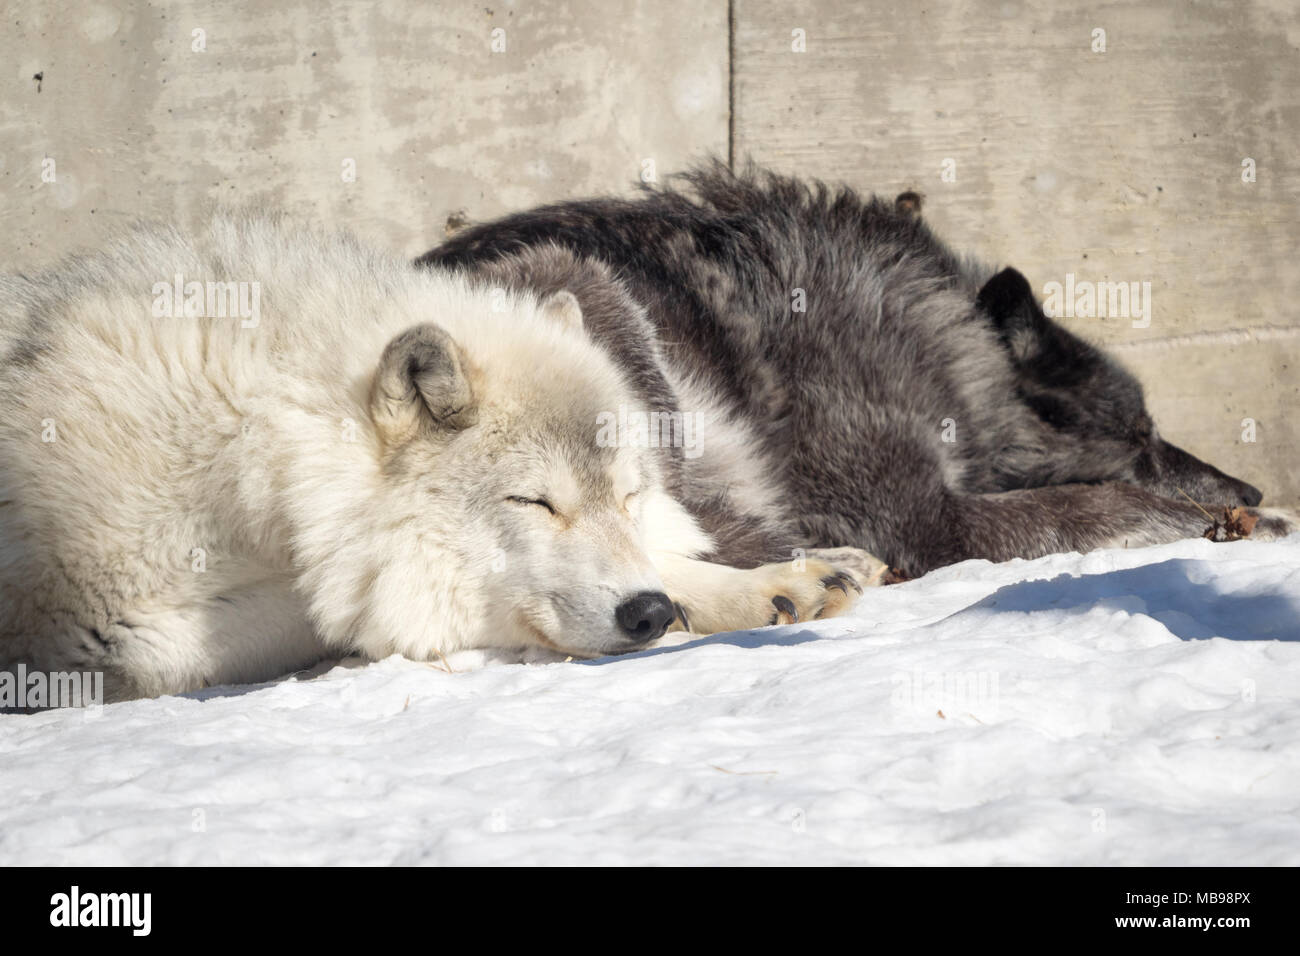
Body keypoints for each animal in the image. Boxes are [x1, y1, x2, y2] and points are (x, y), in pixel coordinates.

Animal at [0, 215, 877, 703]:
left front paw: (778, 584)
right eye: (536, 503)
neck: (252, 439)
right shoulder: (86, 635)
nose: (648, 615)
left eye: (624, 497)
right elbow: (346, 601)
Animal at [418, 162, 1297, 576]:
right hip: (585, 293)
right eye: (1141, 436)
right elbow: (1091, 504)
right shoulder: (925, 520)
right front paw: (1232, 523)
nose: (1254, 491)